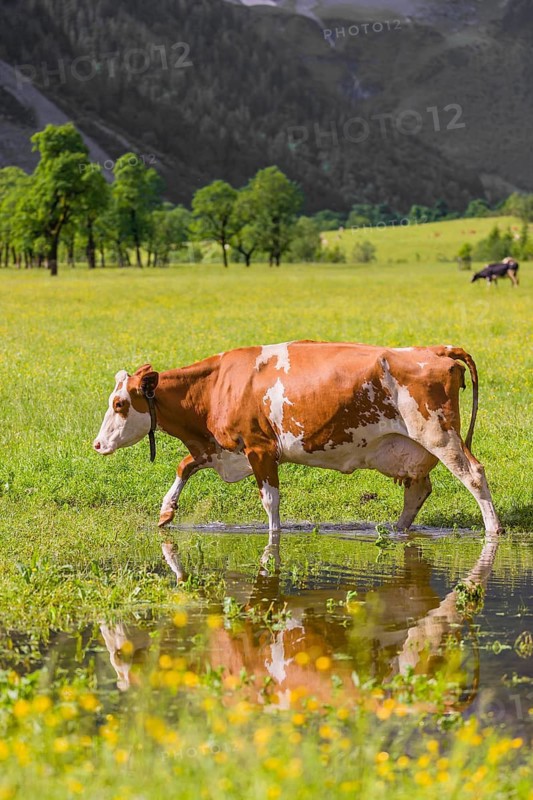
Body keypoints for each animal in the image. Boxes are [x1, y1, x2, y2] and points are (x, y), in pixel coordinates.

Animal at [93, 341, 502, 565]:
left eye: (119, 404)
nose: (97, 444)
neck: (217, 386)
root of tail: (435, 349)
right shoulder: (221, 449)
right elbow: (185, 465)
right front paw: (166, 511)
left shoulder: (259, 449)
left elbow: (270, 502)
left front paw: (274, 537)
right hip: (410, 445)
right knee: (418, 490)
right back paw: (398, 530)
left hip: (439, 433)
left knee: (473, 474)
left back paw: (493, 529)